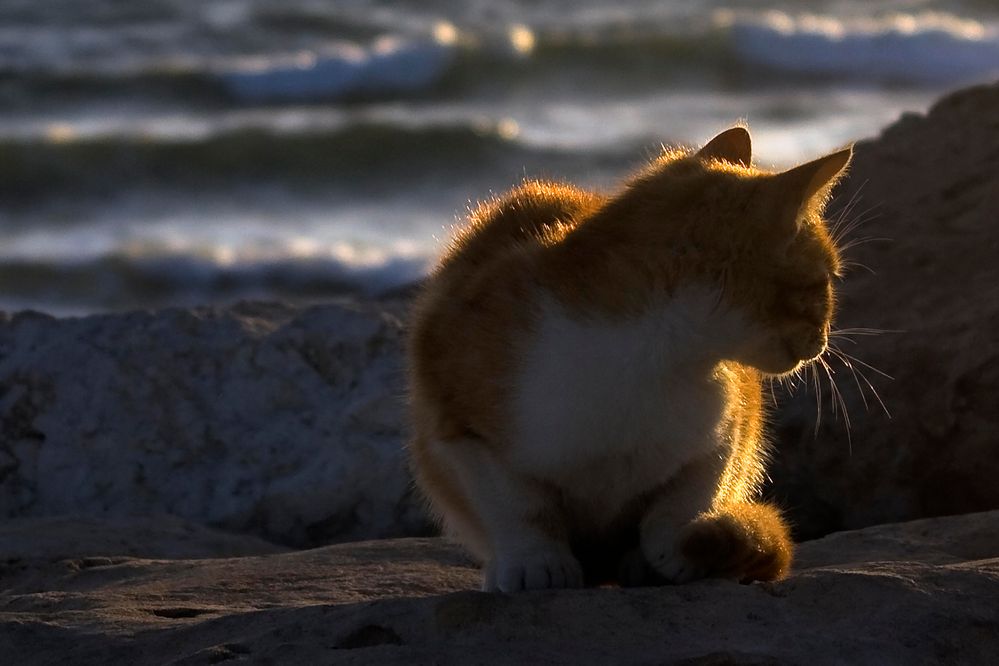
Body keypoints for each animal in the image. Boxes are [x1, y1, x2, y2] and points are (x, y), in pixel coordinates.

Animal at [406, 127, 852, 588]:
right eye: (825, 282)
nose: (823, 340)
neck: (651, 355)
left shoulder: (730, 424)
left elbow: (689, 496)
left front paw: (673, 546)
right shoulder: (460, 425)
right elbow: (518, 508)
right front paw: (536, 560)